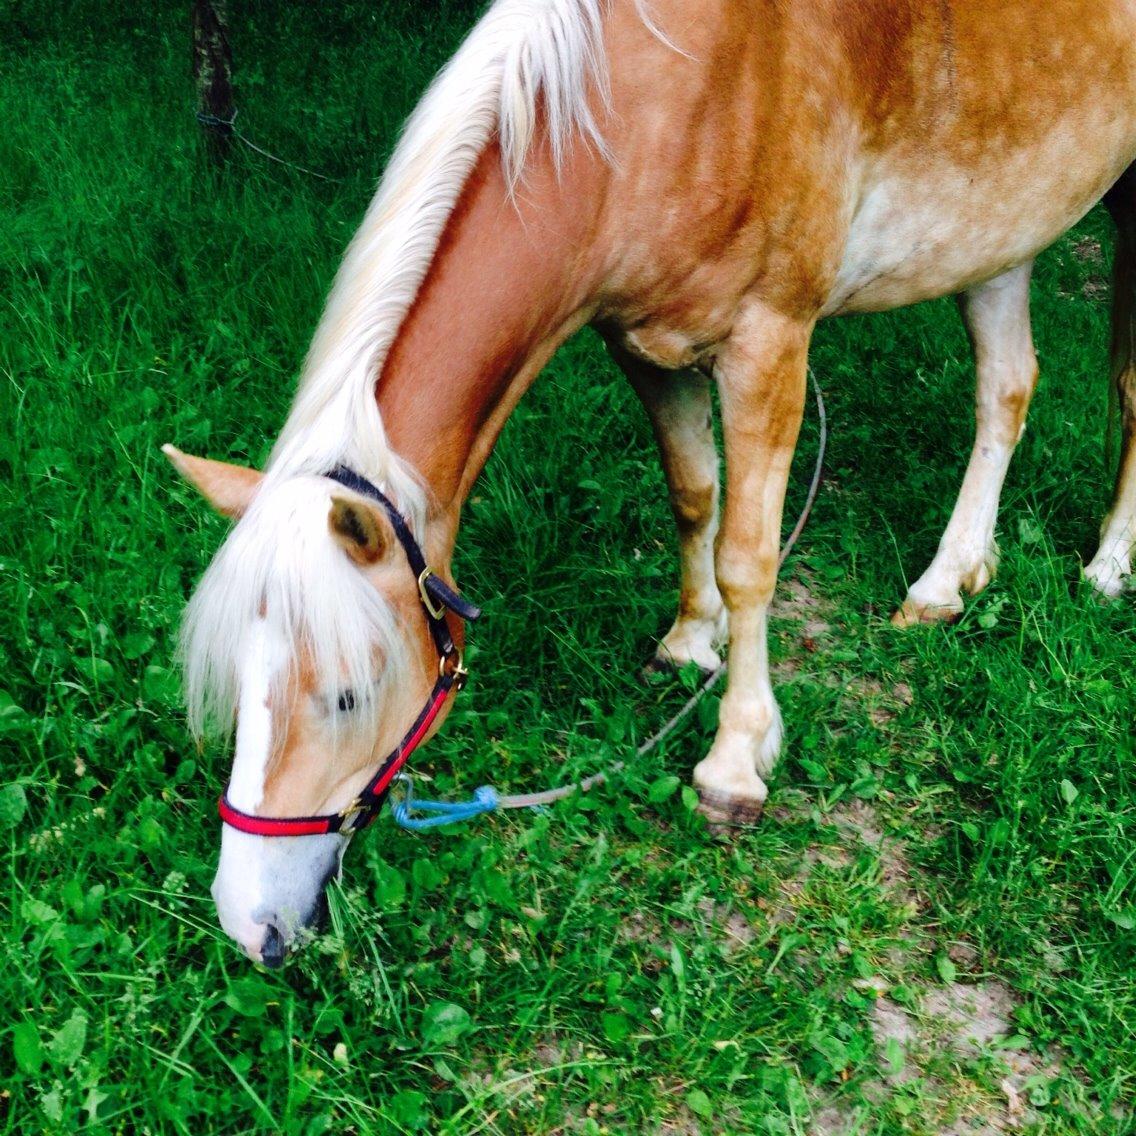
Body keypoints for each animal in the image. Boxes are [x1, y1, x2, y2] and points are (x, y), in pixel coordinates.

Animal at [164, 0, 1136, 967]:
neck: (662, 105)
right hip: (1000, 232)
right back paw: (947, 580)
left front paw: (735, 761)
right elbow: (694, 496)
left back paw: (1108, 566)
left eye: (349, 695)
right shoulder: (645, 349)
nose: (250, 923)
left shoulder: (768, 345)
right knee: (1005, 389)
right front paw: (688, 642)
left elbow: (750, 559)